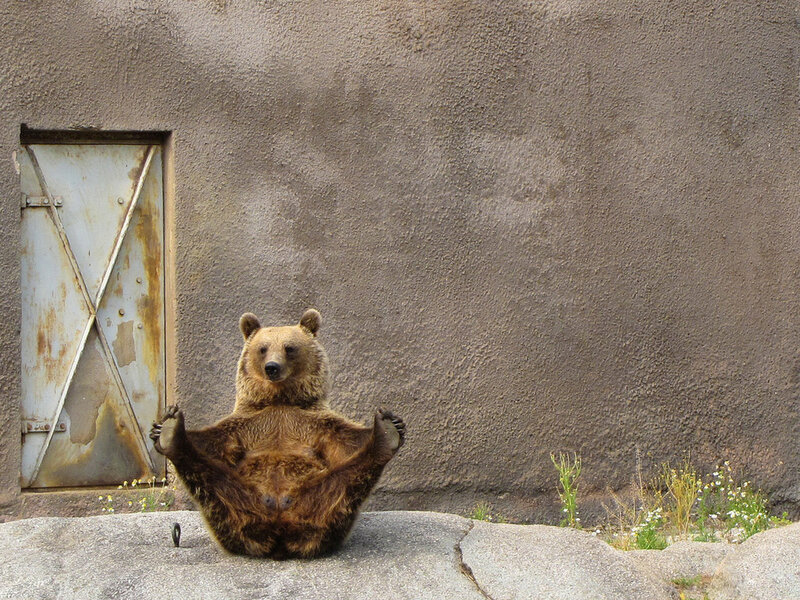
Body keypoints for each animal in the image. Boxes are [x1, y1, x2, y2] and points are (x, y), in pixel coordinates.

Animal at [149, 309, 405, 559]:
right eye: (263, 348)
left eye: (289, 347)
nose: (272, 367)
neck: (279, 399)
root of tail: (279, 533)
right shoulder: (247, 425)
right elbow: (212, 442)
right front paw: (160, 427)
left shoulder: (314, 423)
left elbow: (346, 441)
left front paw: (394, 422)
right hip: (235, 505)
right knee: (211, 480)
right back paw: (172, 434)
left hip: (319, 500)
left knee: (346, 482)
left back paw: (385, 436)